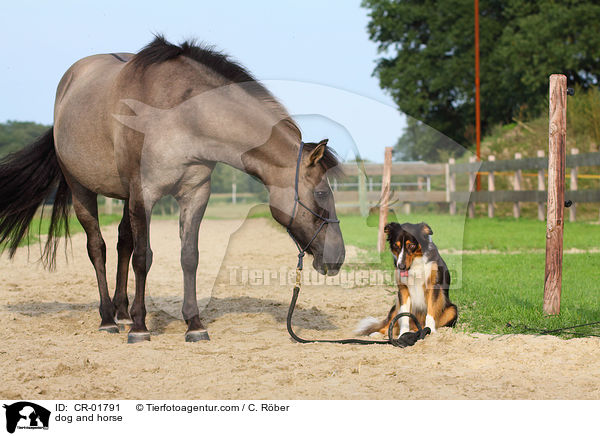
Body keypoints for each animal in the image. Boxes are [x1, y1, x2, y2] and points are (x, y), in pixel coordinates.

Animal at [0, 36, 344, 344]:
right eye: (321, 193)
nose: (337, 257)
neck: (181, 115)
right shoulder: (144, 194)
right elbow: (143, 258)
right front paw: (140, 328)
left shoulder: (195, 194)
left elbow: (188, 256)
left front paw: (194, 324)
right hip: (81, 188)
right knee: (98, 248)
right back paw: (109, 319)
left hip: (125, 197)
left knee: (123, 242)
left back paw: (122, 313)